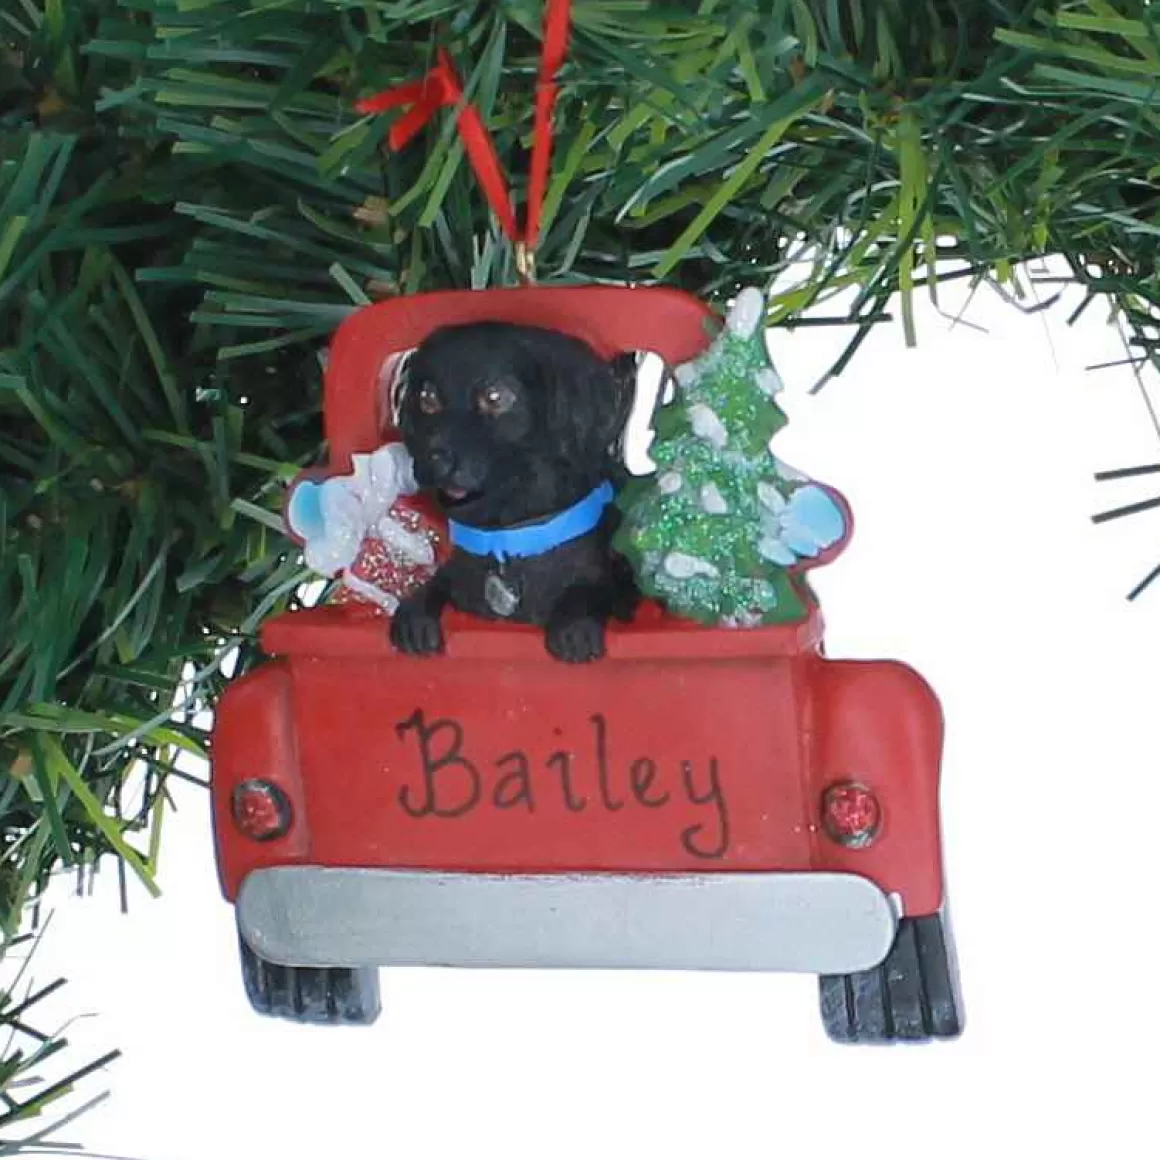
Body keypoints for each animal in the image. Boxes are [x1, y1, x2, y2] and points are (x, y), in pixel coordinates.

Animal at [394, 320, 640, 663]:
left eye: (495, 396)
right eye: (428, 397)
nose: (433, 459)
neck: (505, 537)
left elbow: (593, 588)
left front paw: (574, 624)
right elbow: (439, 581)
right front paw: (415, 612)